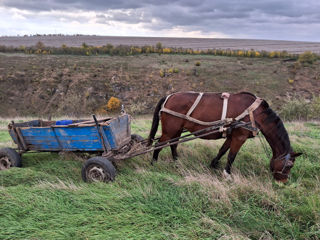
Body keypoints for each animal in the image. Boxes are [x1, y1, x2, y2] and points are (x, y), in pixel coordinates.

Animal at [148, 92, 302, 182]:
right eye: (289, 165)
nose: (283, 182)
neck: (256, 114)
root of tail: (169, 96)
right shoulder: (240, 137)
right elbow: (231, 156)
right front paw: (227, 174)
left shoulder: (231, 136)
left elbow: (222, 151)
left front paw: (213, 164)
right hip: (170, 130)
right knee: (159, 145)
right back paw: (154, 163)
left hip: (177, 130)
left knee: (173, 144)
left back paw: (176, 162)